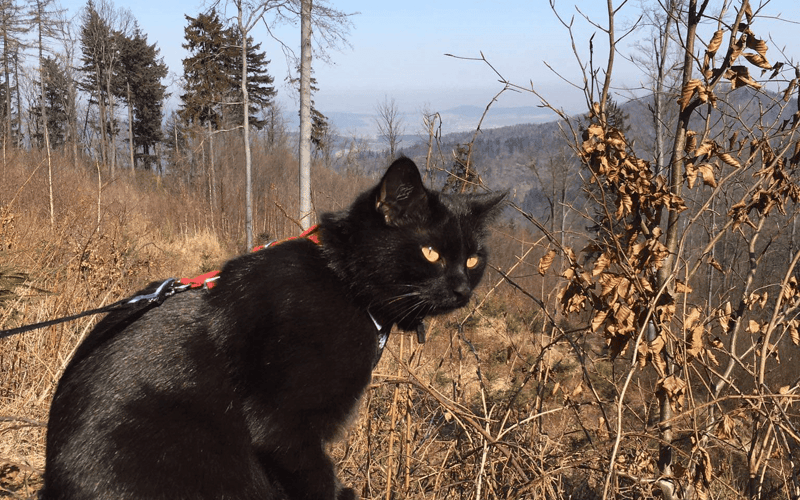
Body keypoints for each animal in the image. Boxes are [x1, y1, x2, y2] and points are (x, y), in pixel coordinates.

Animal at [40, 157, 504, 500]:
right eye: (431, 253)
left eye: (473, 259)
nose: (462, 289)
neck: (343, 283)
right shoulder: (284, 426)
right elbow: (316, 481)